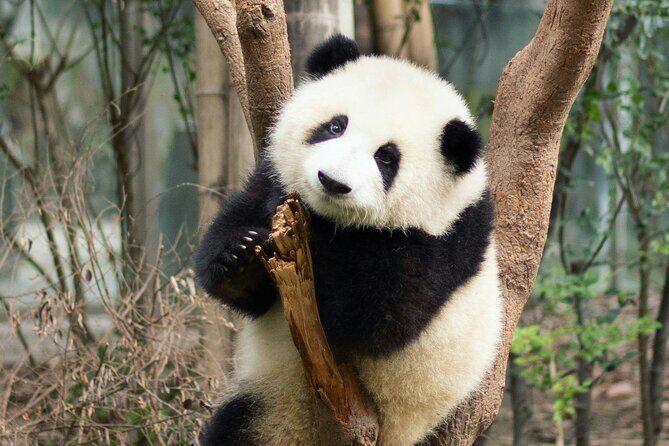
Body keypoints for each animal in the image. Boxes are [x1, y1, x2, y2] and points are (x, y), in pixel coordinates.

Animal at [195, 34, 502, 446]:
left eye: (386, 158)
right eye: (335, 126)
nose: (332, 181)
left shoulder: (440, 242)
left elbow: (376, 320)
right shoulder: (269, 177)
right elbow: (245, 272)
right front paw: (240, 253)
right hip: (268, 405)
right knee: (236, 427)